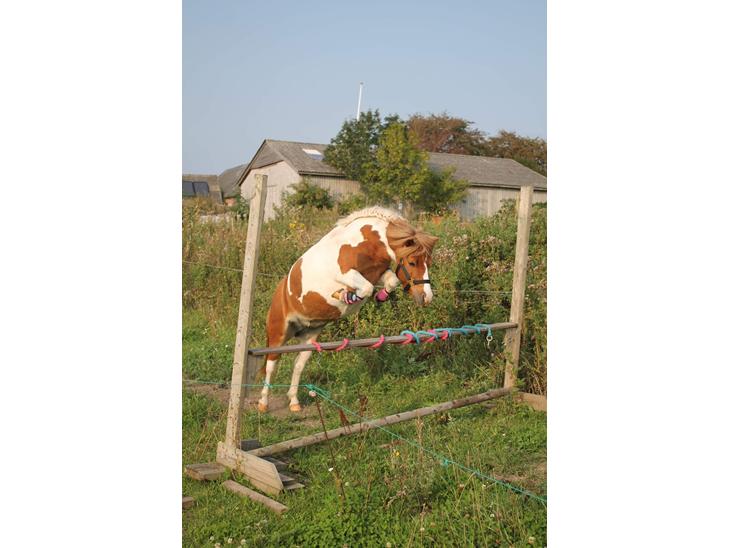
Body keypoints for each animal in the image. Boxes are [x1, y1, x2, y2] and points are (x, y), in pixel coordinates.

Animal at [258, 206, 438, 413]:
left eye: (428, 263)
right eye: (412, 262)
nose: (426, 297)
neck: (367, 243)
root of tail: (278, 293)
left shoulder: (378, 273)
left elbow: (390, 281)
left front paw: (380, 296)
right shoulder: (345, 274)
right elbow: (365, 288)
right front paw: (344, 296)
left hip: (309, 336)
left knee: (298, 365)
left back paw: (294, 401)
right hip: (278, 333)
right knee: (271, 364)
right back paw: (263, 403)